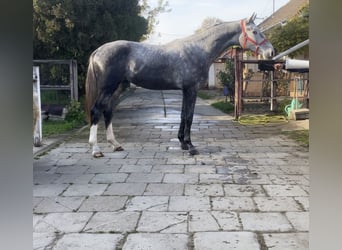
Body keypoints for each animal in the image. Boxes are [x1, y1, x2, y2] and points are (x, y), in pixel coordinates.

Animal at [86, 13, 276, 157]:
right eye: (255, 31)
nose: (271, 51)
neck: (198, 49)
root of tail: (98, 51)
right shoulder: (191, 89)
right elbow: (189, 117)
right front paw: (191, 146)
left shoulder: (185, 90)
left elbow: (183, 115)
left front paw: (182, 143)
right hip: (107, 88)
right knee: (96, 110)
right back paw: (96, 149)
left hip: (118, 88)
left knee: (108, 112)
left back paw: (115, 144)